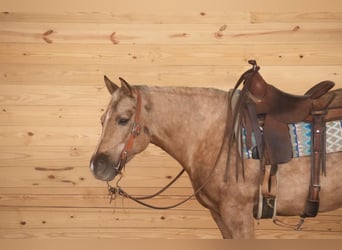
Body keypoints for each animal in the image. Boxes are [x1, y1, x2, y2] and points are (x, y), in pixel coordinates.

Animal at [90, 75, 342, 238]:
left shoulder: (238, 215)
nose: (97, 165)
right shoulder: (219, 216)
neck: (215, 133)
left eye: (123, 119)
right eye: (101, 119)